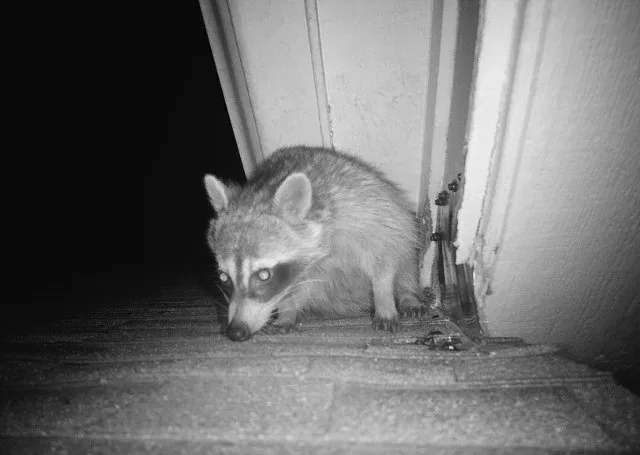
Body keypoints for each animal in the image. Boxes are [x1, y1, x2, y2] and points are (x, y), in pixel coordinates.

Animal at [204, 146, 424, 341]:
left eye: (264, 275)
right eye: (224, 277)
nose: (235, 332)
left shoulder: (367, 215)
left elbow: (384, 262)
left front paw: (384, 299)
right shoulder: (303, 273)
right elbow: (293, 290)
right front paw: (287, 311)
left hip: (398, 218)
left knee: (406, 262)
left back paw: (407, 294)